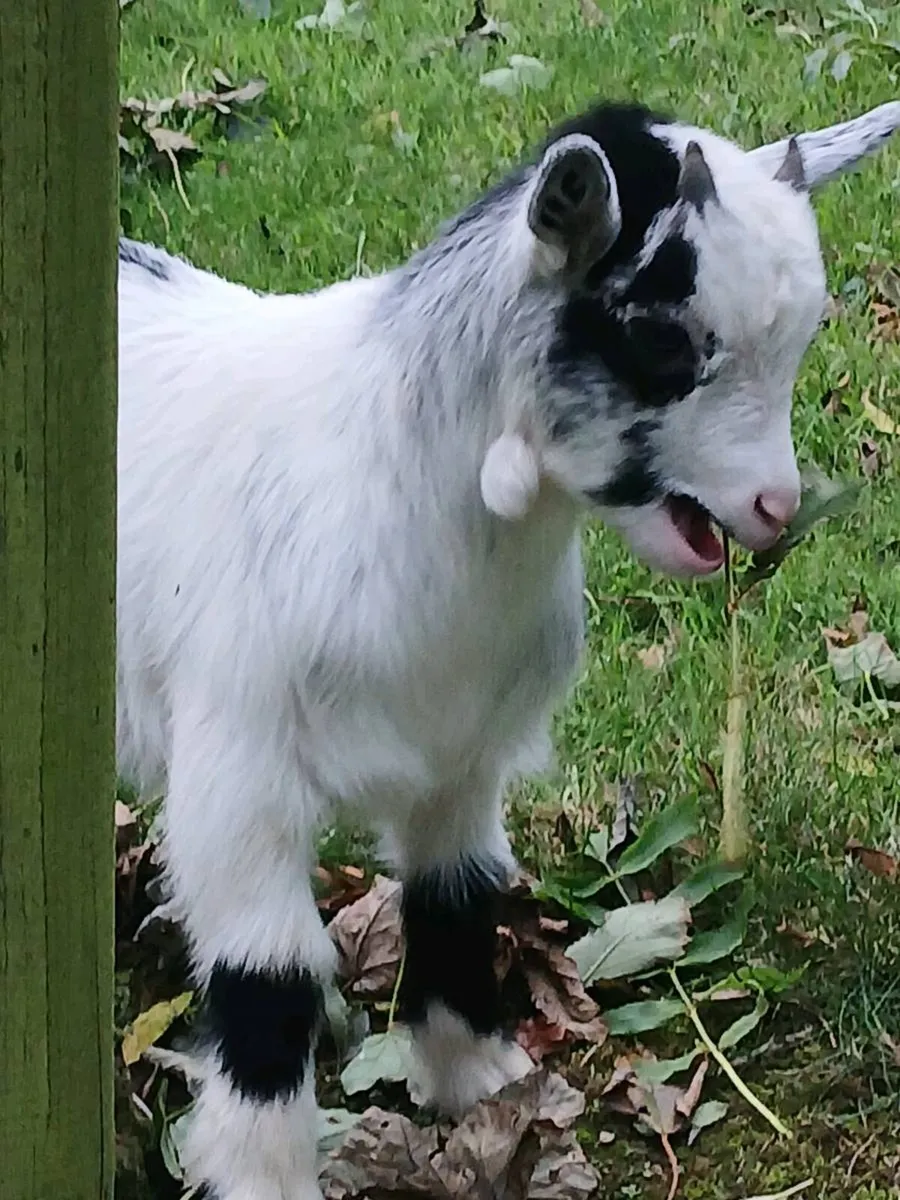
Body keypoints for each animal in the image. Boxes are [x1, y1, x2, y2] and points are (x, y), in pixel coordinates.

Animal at [117, 99, 900, 1200]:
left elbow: (459, 894)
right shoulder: (241, 768)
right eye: (660, 339)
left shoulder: (462, 749)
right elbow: (267, 983)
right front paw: (267, 1179)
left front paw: (480, 1092)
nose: (773, 508)